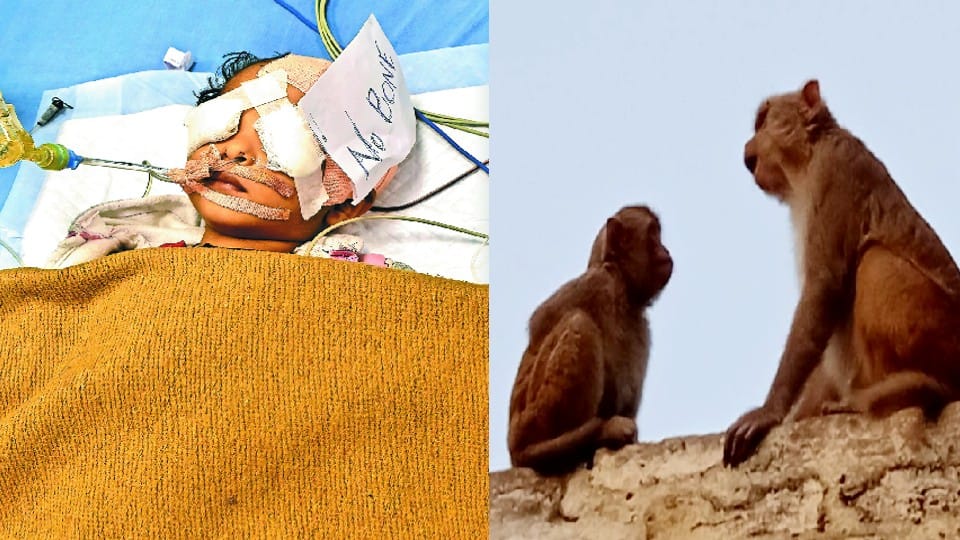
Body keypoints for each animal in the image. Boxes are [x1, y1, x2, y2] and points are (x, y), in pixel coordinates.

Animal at [507, 205, 673, 475]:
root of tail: (514, 449)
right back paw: (549, 449)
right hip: (533, 419)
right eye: (653, 234)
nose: (665, 250)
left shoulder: (641, 327)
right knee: (580, 323)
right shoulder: (596, 284)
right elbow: (540, 323)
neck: (622, 288)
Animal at [723, 79, 960, 467]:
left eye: (762, 121)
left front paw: (769, 413)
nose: (747, 145)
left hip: (942, 333)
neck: (807, 159)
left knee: (874, 261)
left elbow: (824, 286)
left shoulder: (835, 169)